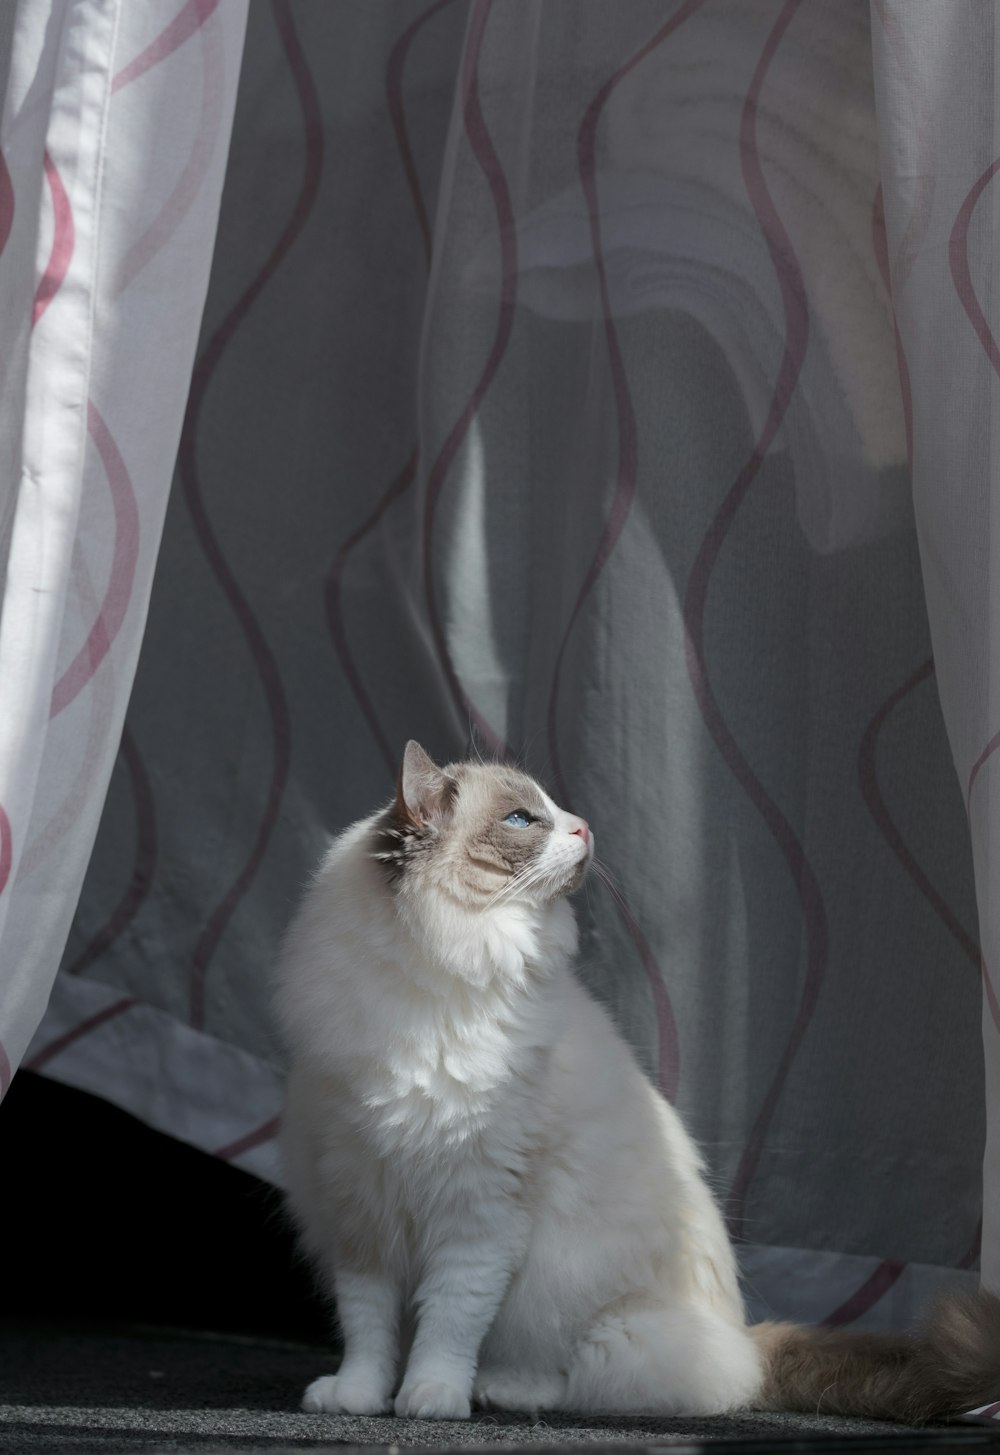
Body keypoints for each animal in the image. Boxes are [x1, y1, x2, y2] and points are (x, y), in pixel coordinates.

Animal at [278, 744, 1000, 1414]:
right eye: (523, 819)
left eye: (551, 811)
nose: (585, 828)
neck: (438, 984)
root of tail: (739, 1334)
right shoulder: (358, 1206)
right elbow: (368, 1331)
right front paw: (356, 1397)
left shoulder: (477, 1215)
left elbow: (449, 1325)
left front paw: (430, 1398)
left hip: (575, 1295)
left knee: (577, 1375)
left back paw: (500, 1388)